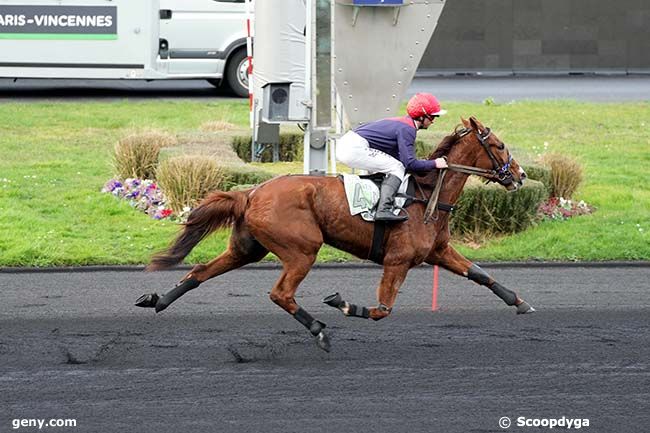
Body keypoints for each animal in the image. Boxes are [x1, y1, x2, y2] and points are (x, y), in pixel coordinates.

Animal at [135, 115, 532, 352]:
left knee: (200, 271)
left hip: (248, 248)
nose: (521, 175)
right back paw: (319, 330)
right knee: (281, 294)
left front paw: (520, 302)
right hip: (302, 249)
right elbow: (382, 309)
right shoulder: (398, 260)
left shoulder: (438, 252)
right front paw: (342, 303)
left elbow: (479, 274)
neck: (426, 195)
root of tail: (251, 192)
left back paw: (158, 301)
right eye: (498, 145)